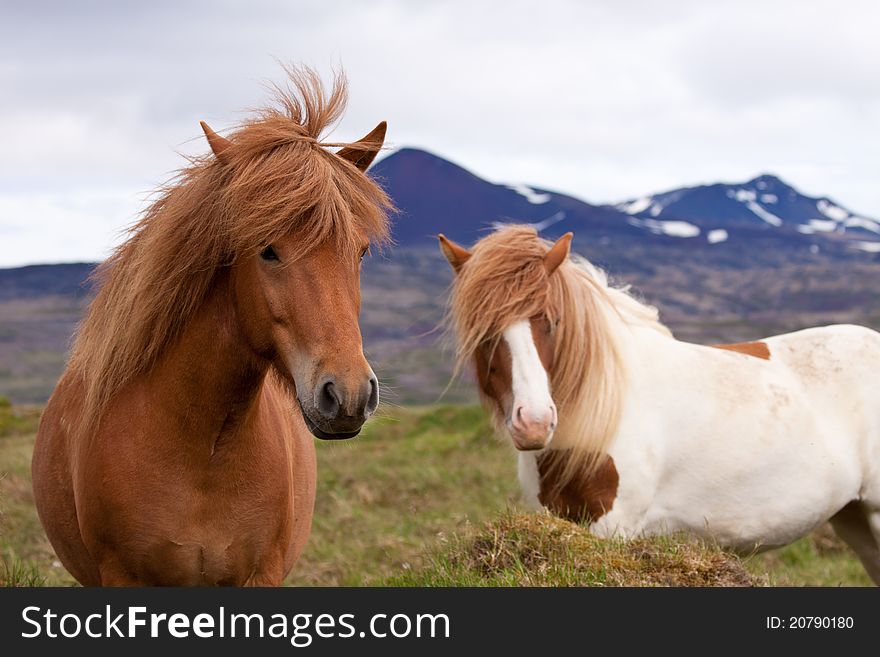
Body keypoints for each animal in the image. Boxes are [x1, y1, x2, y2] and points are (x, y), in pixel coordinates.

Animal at [444, 227, 880, 584]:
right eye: (483, 333)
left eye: (551, 322)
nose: (534, 423)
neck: (602, 411)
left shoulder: (615, 527)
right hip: (854, 518)